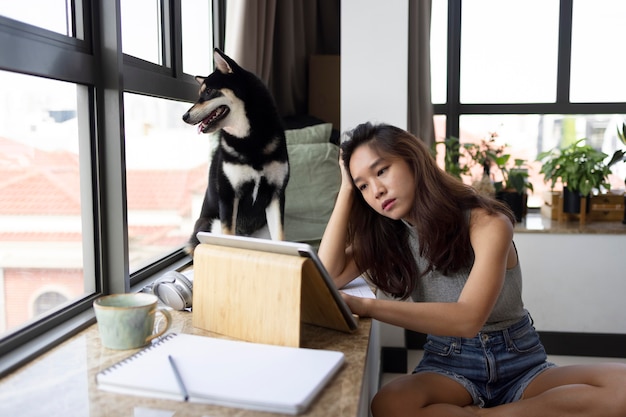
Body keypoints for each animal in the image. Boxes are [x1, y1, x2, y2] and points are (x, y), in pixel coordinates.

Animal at [180, 47, 288, 252]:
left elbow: (280, 238)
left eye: (209, 91)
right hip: (211, 224)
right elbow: (228, 236)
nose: (184, 116)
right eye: (201, 93)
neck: (249, 140)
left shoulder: (276, 194)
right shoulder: (228, 195)